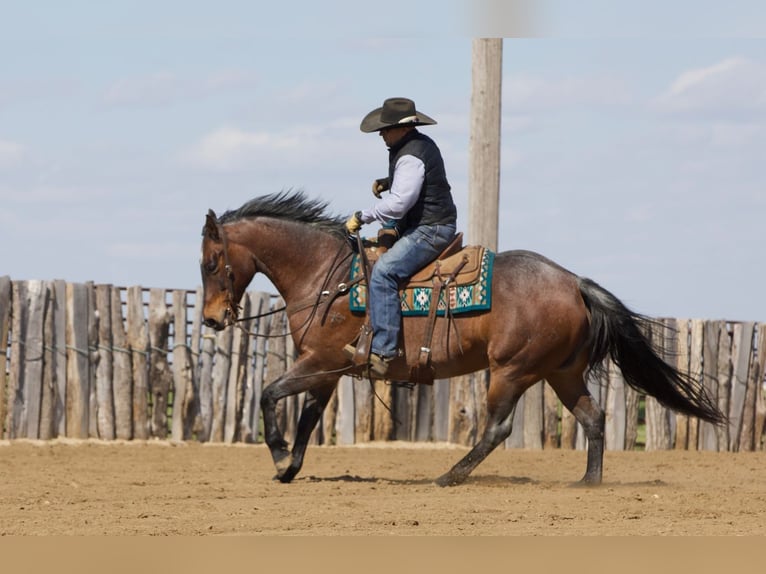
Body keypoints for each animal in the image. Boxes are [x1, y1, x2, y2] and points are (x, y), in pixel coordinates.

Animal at [199, 191, 724, 486]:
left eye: (210, 261)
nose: (210, 320)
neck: (326, 277)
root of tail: (574, 282)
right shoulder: (328, 370)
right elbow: (307, 418)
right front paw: (289, 468)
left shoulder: (320, 362)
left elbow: (270, 395)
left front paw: (278, 454)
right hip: (561, 373)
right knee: (593, 420)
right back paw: (588, 485)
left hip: (512, 371)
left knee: (497, 429)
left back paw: (449, 477)